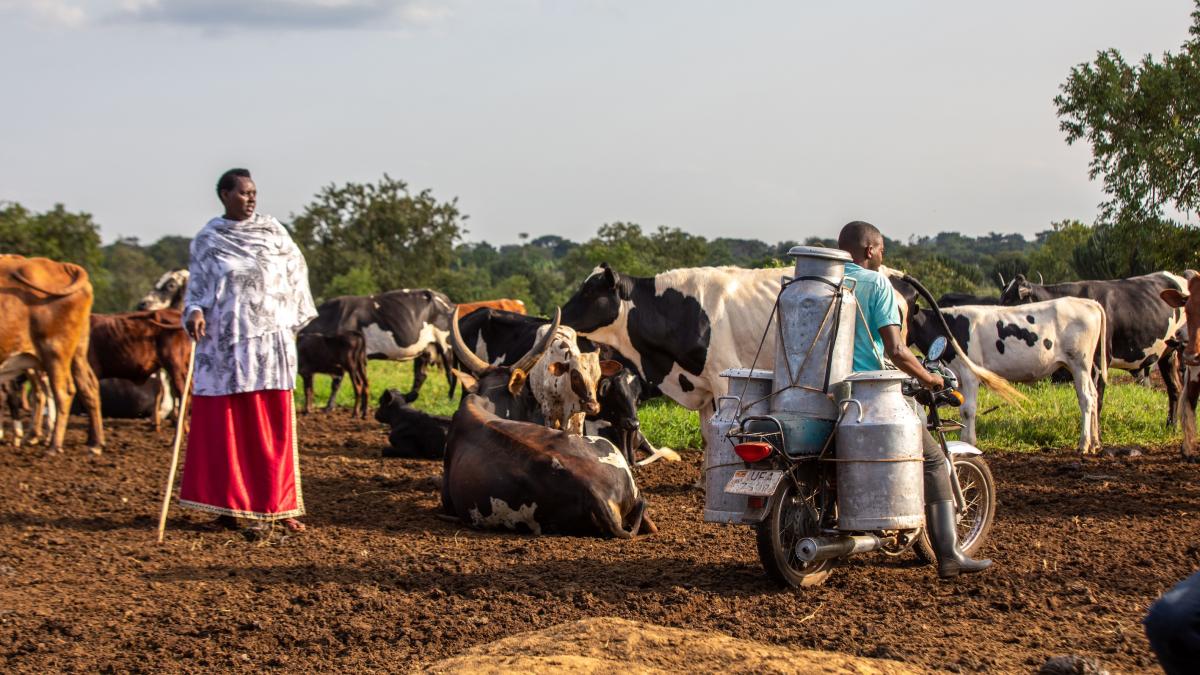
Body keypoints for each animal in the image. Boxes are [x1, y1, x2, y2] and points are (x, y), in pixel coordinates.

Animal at [0, 255, 104, 453]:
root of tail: (64, 266)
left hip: (54, 352)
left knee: (63, 392)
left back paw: (54, 445)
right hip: (77, 353)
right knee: (89, 386)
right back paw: (96, 443)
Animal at [299, 289, 455, 403]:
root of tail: (445, 298)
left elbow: (338, 381)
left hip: (446, 344)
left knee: (451, 372)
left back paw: (449, 399)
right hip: (424, 348)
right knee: (420, 375)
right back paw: (408, 397)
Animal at [908, 297, 1108, 454]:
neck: (948, 324)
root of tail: (1089, 302)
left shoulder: (970, 373)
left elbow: (968, 410)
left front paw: (969, 442)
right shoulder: (958, 375)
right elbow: (962, 409)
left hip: (1079, 364)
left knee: (1086, 398)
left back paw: (1084, 443)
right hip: (1084, 367)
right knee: (1094, 395)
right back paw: (1095, 443)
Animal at [1000, 272, 1187, 425]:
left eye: (1011, 300)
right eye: (1002, 297)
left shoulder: (1098, 361)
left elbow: (1096, 399)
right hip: (1168, 354)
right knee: (1174, 389)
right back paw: (1171, 426)